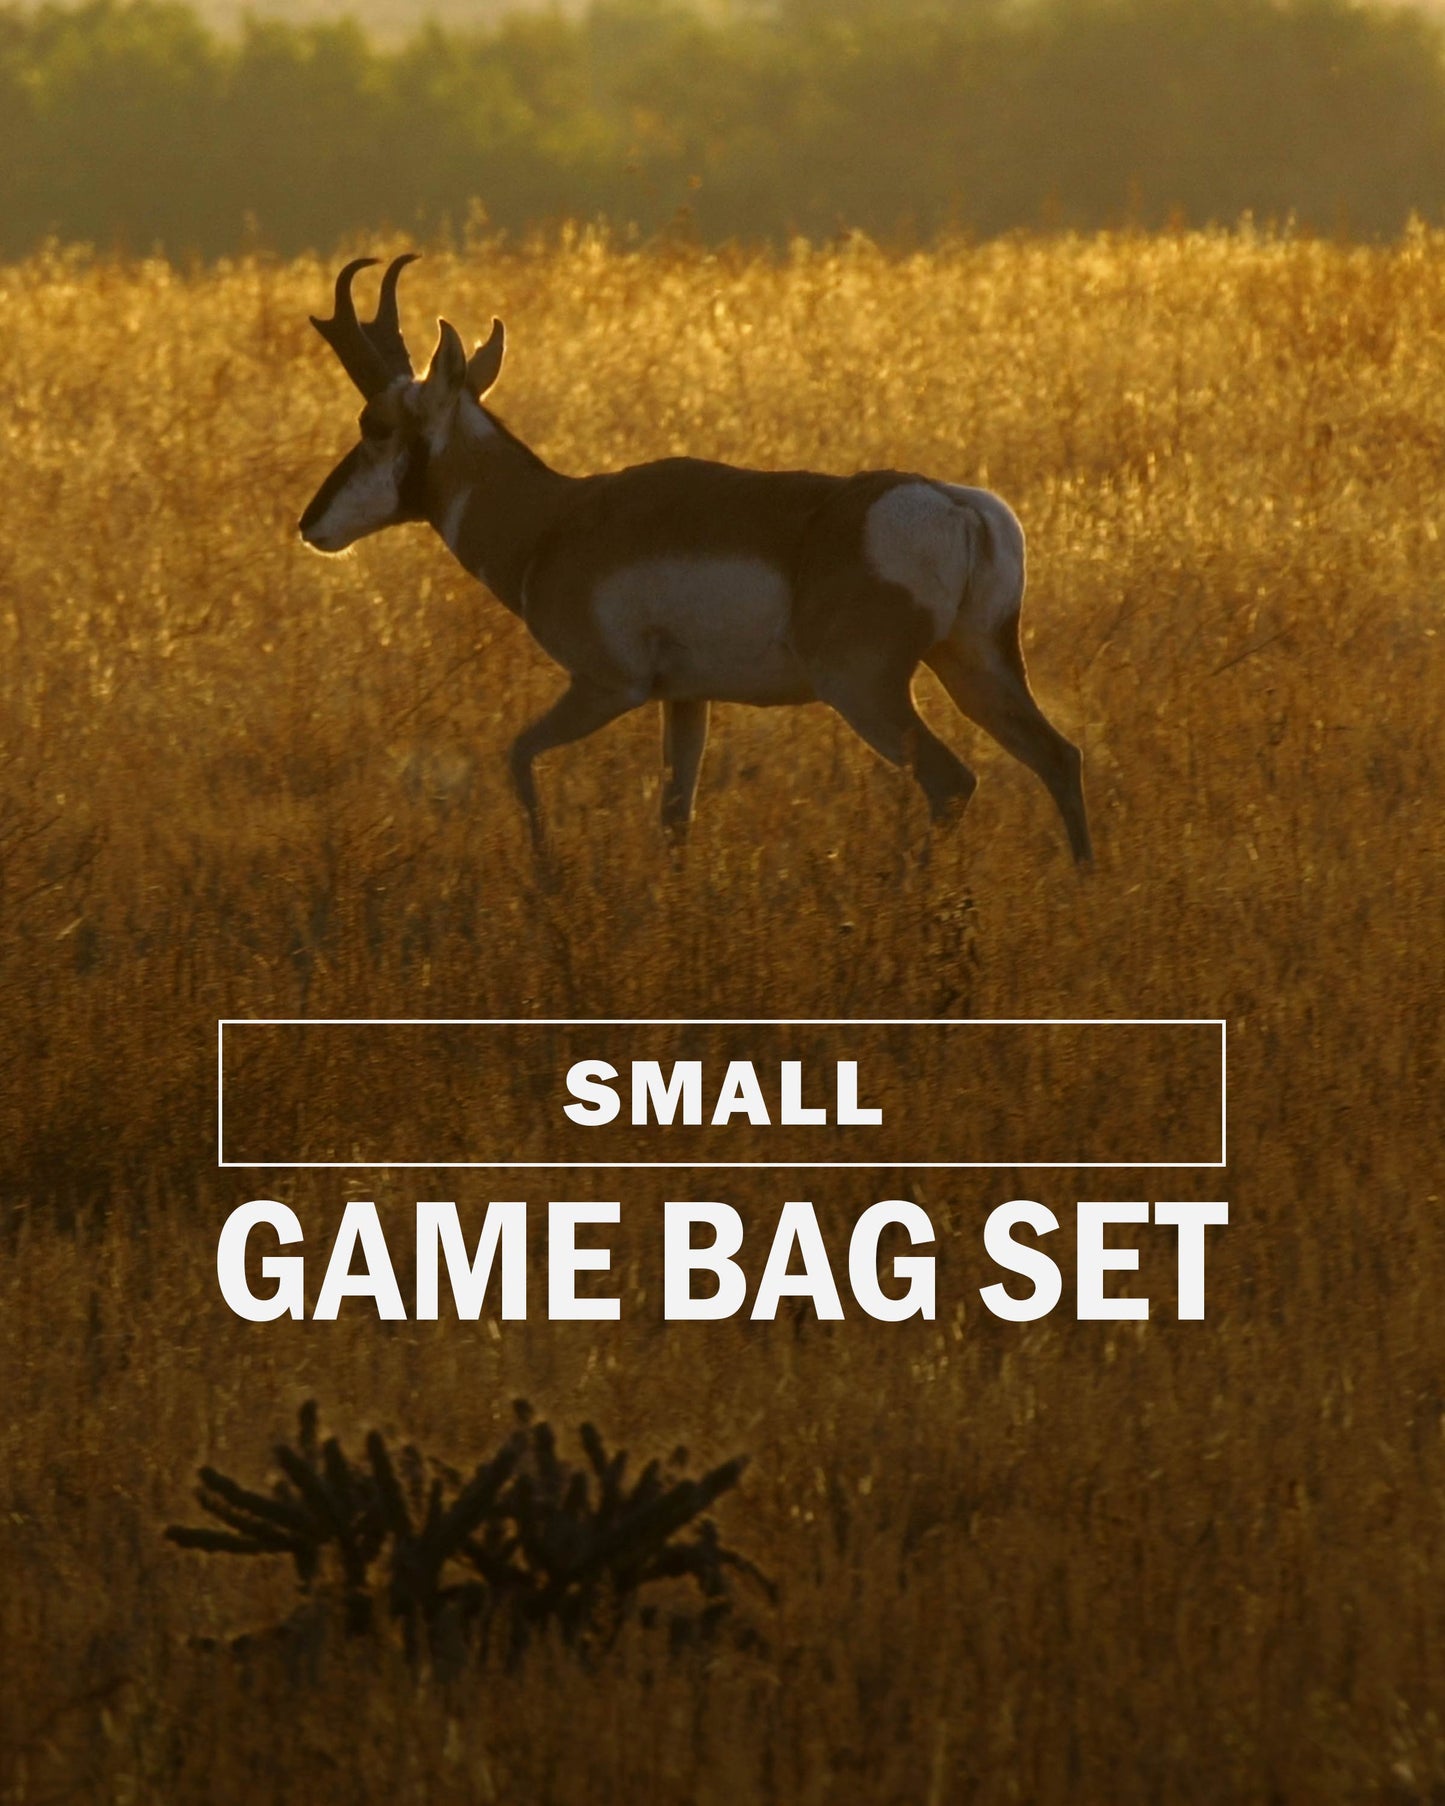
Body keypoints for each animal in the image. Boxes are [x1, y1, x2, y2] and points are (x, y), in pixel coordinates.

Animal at [298, 256, 1093, 866]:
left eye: (374, 424)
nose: (310, 525)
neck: (558, 518)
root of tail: (955, 506)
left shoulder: (606, 687)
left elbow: (517, 755)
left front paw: (548, 879)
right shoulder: (685, 700)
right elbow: (674, 817)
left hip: (865, 689)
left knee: (951, 780)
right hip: (973, 666)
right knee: (1058, 756)